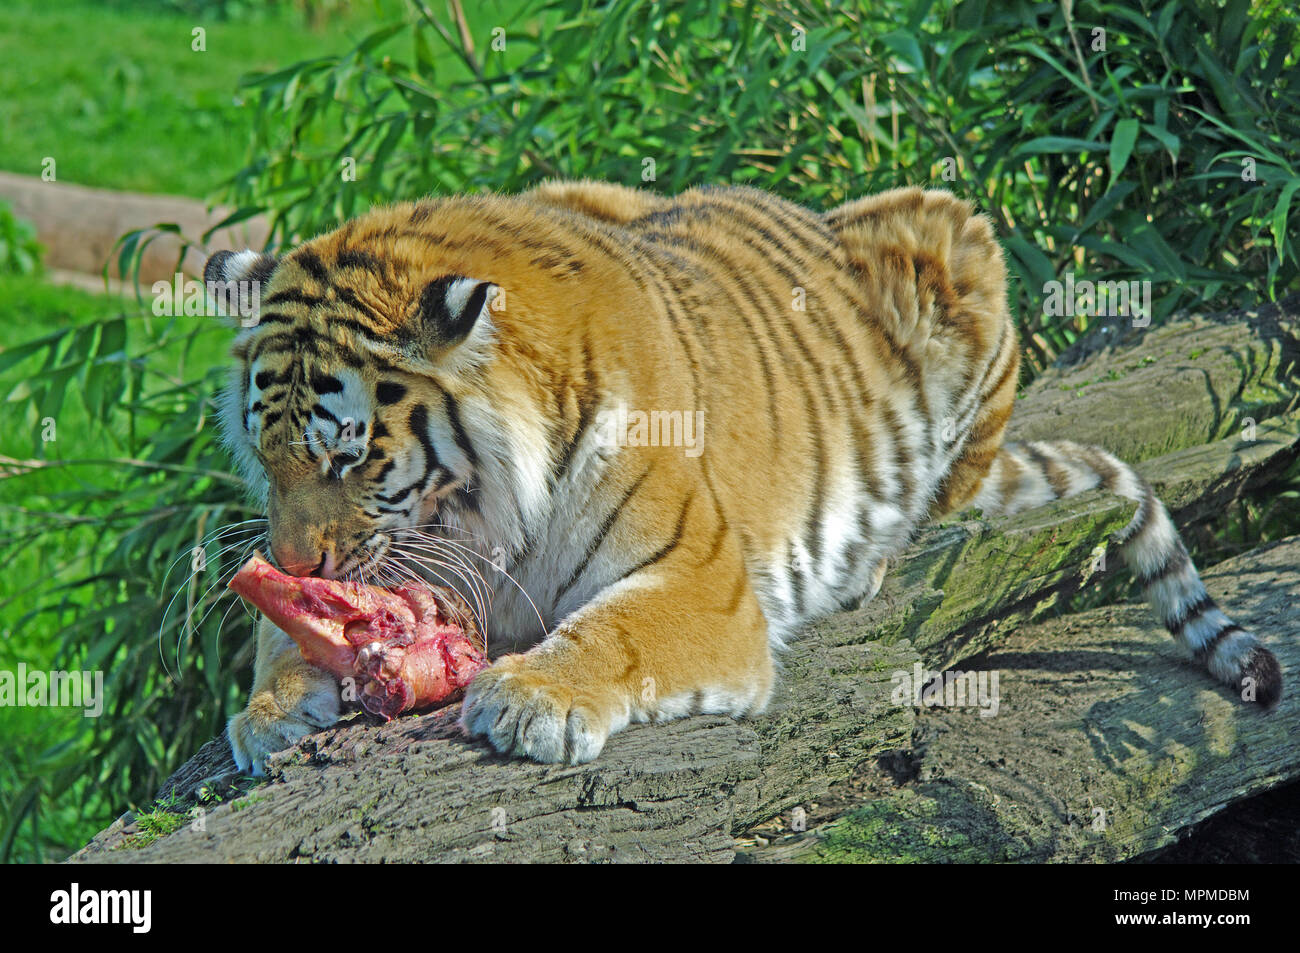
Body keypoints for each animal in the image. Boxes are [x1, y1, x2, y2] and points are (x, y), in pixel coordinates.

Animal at [202, 180, 1279, 774]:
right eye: (267, 454)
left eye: (350, 454)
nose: (293, 558)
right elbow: (282, 633)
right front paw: (272, 706)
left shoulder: (701, 578)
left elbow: (613, 630)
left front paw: (533, 697)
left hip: (958, 244)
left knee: (940, 492)